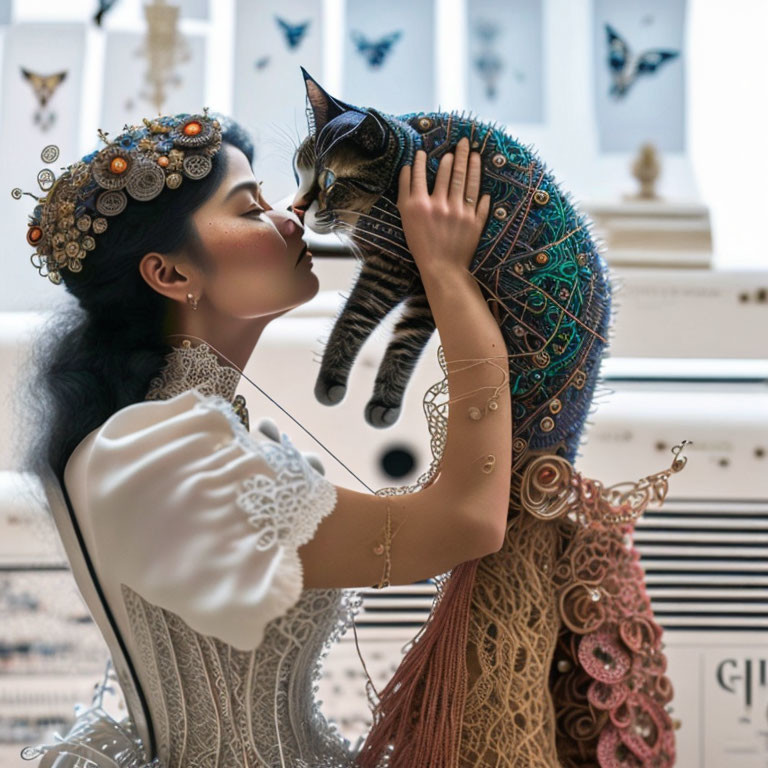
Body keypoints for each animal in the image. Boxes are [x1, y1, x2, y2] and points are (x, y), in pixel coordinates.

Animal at [294, 66, 680, 768]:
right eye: (300, 169)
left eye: (332, 179)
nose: (297, 207)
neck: (407, 162)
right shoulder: (410, 280)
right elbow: (385, 333)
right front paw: (358, 394)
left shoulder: (400, 270)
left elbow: (366, 327)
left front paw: (349, 392)